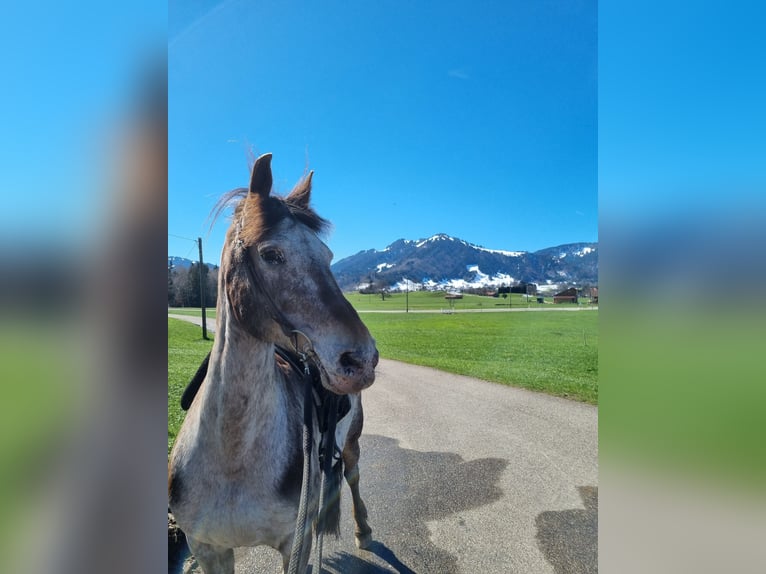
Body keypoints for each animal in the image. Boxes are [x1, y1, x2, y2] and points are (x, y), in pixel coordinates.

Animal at [171, 154, 380, 574]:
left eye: (328, 256)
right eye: (271, 254)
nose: (362, 359)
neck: (233, 461)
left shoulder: (292, 545)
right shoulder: (207, 548)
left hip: (352, 440)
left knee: (352, 474)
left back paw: (363, 529)